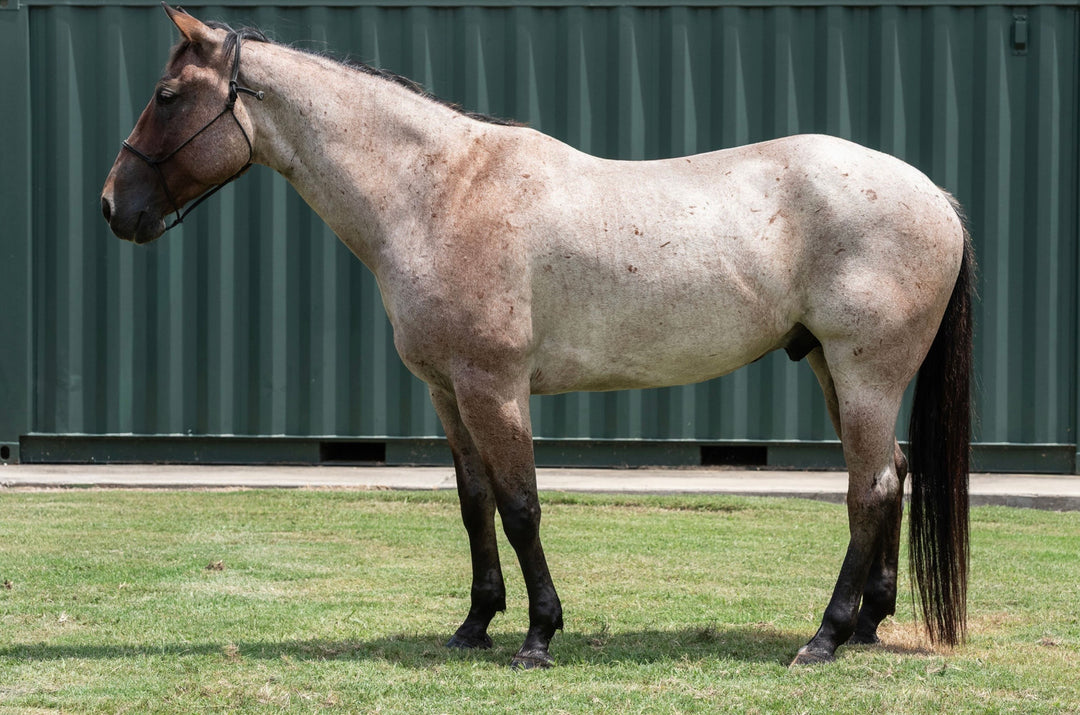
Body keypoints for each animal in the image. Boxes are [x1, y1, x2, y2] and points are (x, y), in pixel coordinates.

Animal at [101, 4, 973, 668]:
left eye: (168, 93)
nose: (114, 206)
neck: (441, 191)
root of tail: (935, 194)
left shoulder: (495, 387)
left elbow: (521, 505)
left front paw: (538, 635)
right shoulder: (448, 392)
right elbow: (474, 502)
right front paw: (473, 626)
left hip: (864, 373)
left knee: (869, 488)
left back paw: (824, 636)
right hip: (831, 368)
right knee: (889, 473)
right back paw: (866, 623)